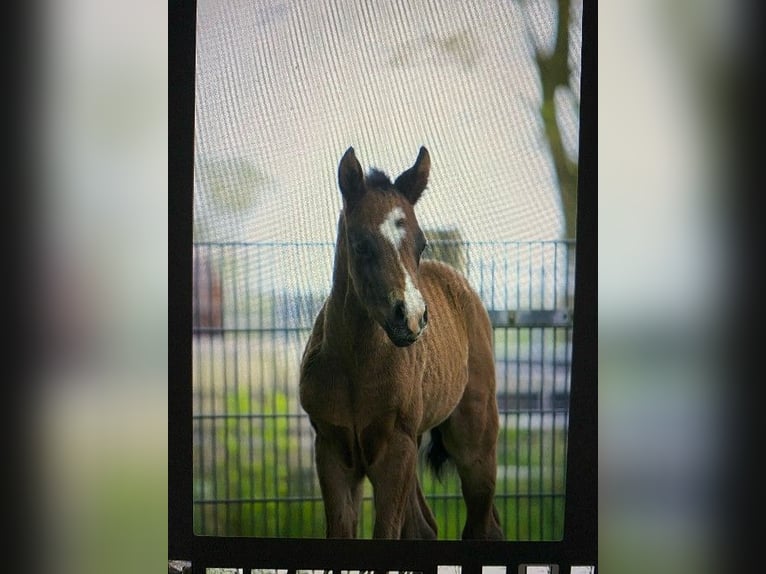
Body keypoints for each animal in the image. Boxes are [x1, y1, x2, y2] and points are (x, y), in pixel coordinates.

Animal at [298, 147, 504, 540]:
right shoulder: (332, 450)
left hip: (474, 438)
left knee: (482, 526)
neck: (356, 368)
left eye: (421, 244)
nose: (410, 317)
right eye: (360, 244)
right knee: (425, 525)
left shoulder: (395, 450)